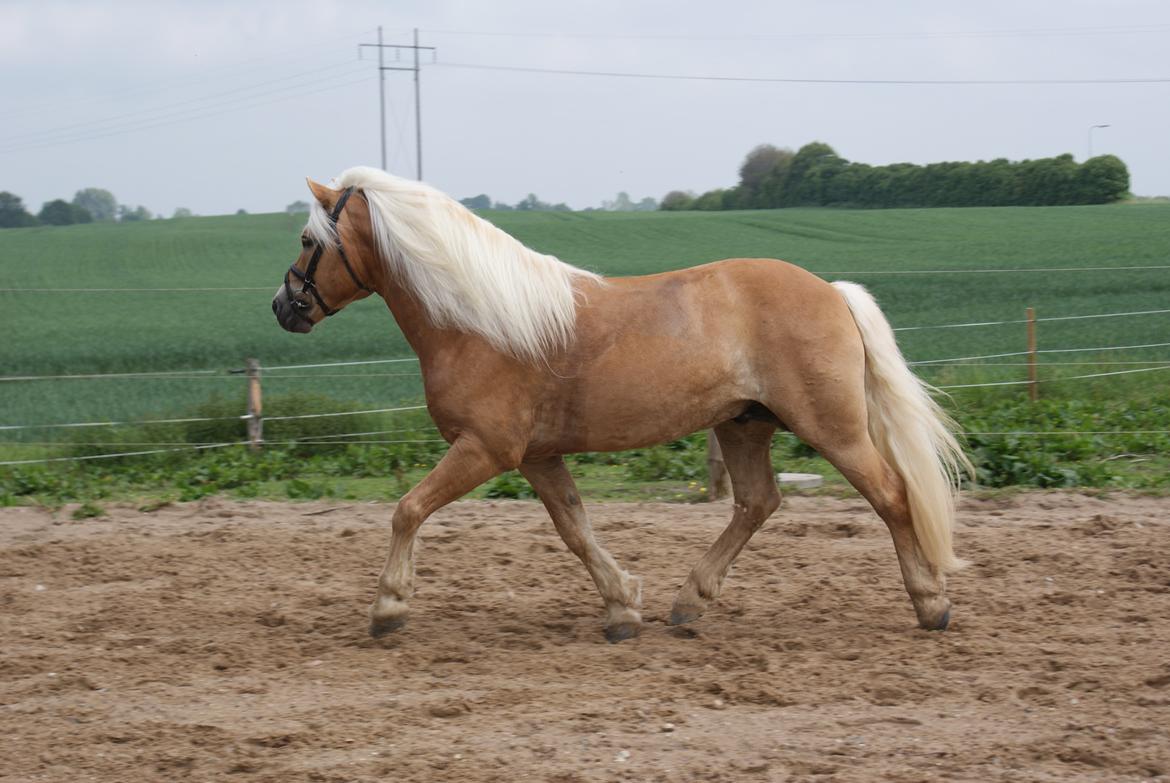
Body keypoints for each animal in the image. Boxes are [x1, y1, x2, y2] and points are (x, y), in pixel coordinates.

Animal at [271, 168, 968, 636]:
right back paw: (688, 603)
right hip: (745, 425)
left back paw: (931, 604)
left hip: (833, 428)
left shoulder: (486, 450)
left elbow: (408, 510)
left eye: (307, 239)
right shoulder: (536, 457)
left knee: (892, 495)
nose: (283, 307)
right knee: (757, 503)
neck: (478, 323)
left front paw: (388, 607)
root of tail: (832, 291)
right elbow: (575, 528)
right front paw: (623, 606)